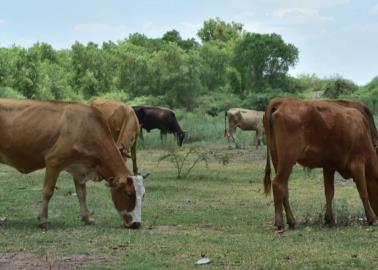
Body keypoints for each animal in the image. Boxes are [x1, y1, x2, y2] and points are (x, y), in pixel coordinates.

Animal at [0, 99, 145, 230]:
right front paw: (43, 220)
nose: (136, 224)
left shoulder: (79, 168)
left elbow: (82, 194)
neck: (86, 129)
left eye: (143, 195)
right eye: (129, 194)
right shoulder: (54, 162)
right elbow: (48, 191)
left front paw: (87, 218)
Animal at [264, 98, 378, 231]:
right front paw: (372, 219)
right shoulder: (358, 164)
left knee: (284, 189)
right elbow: (363, 192)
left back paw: (292, 221)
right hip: (287, 159)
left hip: (277, 160)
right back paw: (280, 223)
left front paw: (329, 219)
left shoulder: (329, 166)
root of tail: (281, 101)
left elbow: (329, 192)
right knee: (278, 184)